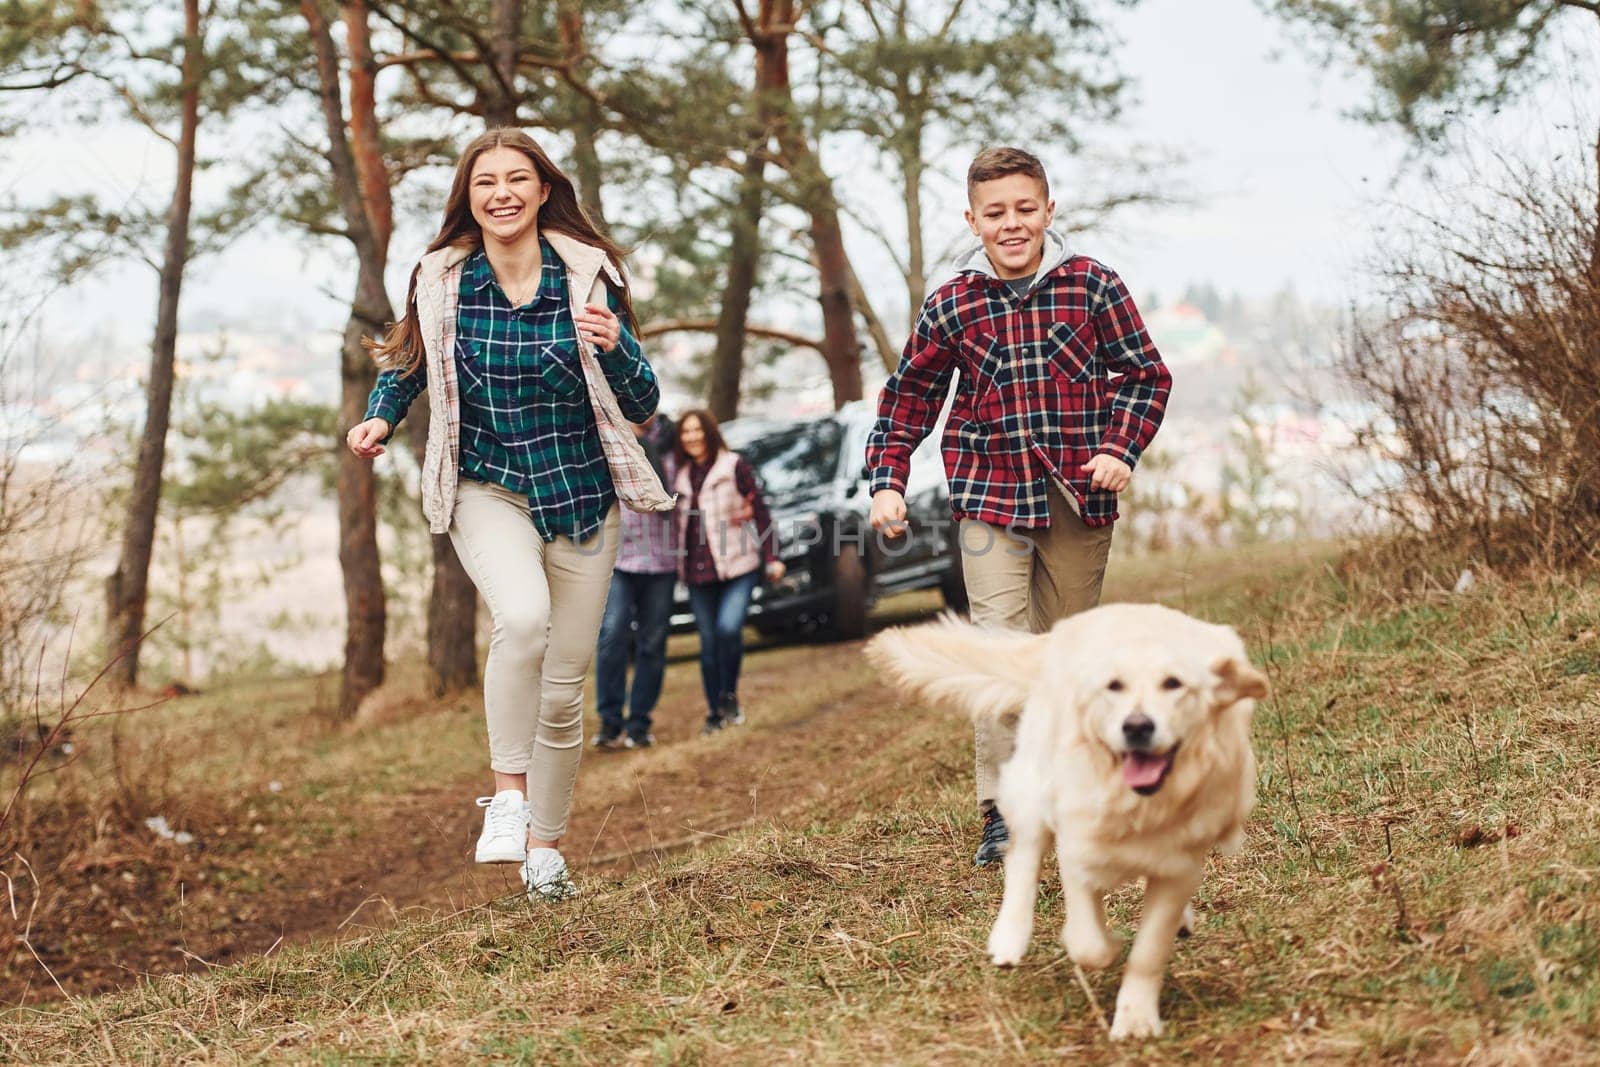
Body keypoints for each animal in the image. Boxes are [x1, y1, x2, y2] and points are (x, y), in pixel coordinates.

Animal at [870, 604, 1267, 1036]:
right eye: (1114, 686)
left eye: (1173, 684)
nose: (1137, 726)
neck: (1138, 803)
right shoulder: (1079, 849)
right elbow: (1087, 940)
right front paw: (1109, 948)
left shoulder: (1180, 866)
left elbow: (1149, 948)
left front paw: (1136, 1017)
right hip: (1031, 795)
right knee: (1022, 862)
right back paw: (1009, 939)